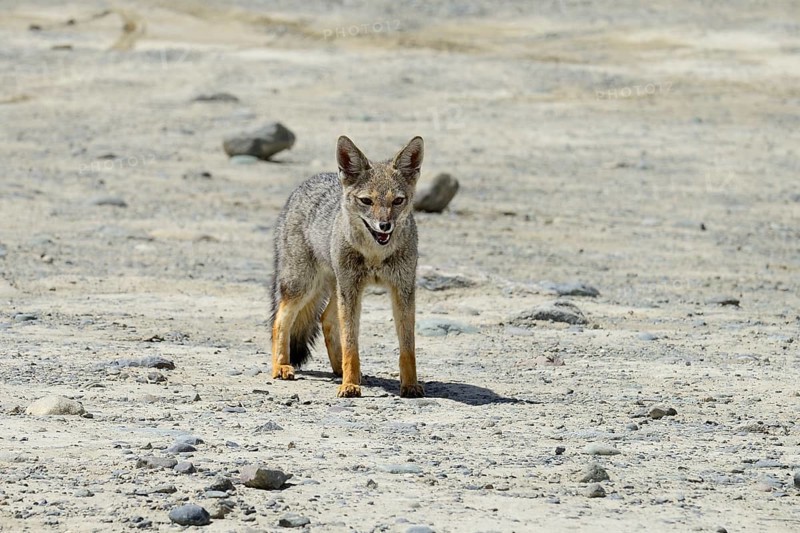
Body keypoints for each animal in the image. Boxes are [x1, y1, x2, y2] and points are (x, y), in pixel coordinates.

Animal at [269, 135, 425, 398]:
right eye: (366, 201)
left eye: (397, 201)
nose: (385, 226)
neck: (375, 256)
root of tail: (309, 181)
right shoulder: (351, 290)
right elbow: (351, 343)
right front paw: (350, 386)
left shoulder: (402, 289)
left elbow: (407, 346)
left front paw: (410, 385)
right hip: (304, 285)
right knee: (280, 320)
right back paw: (281, 366)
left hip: (335, 288)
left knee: (326, 319)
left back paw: (340, 369)